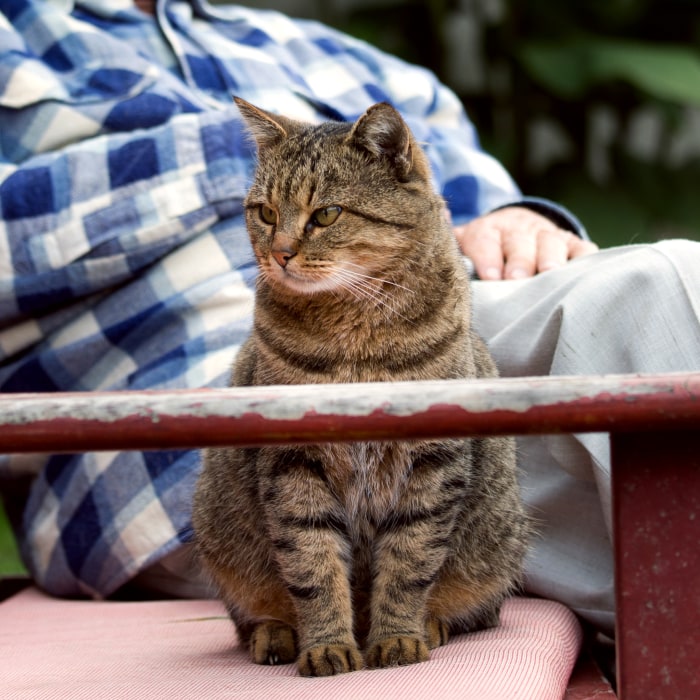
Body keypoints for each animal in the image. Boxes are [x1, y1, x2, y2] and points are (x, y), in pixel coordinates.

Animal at [191, 95, 532, 676]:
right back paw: (276, 634)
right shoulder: (292, 465)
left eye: (326, 214)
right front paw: (327, 646)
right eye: (266, 213)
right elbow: (312, 564)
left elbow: (410, 561)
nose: (279, 253)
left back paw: (431, 625)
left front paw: (397, 637)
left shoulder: (432, 462)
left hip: (497, 543)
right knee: (251, 615)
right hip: (221, 539)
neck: (355, 341)